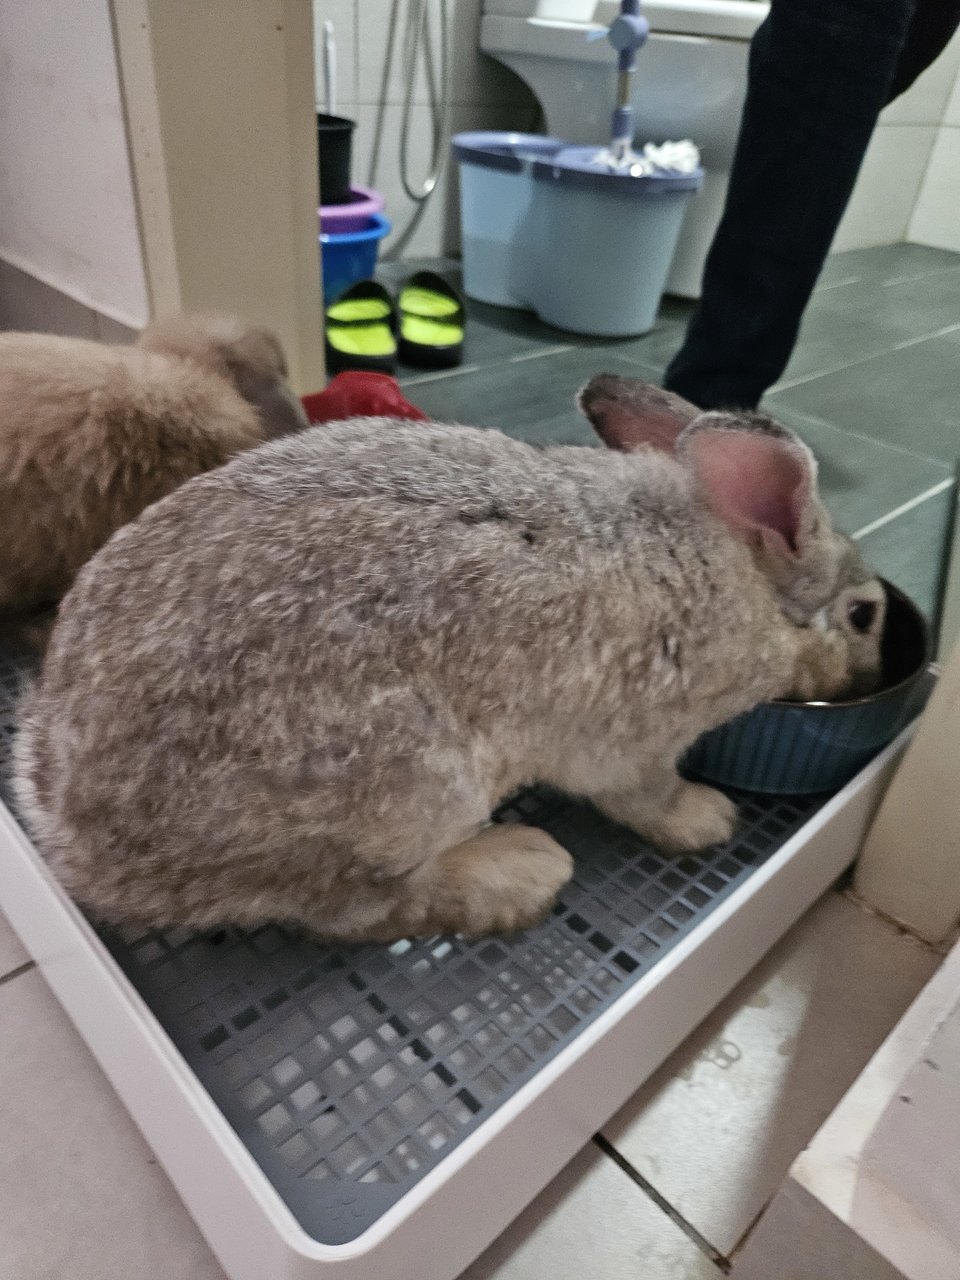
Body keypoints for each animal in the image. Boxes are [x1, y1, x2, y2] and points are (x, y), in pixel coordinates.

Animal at [13, 373, 885, 947]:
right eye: (865, 615)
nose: (872, 678)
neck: (734, 568)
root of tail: (82, 848)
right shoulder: (634, 745)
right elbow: (644, 795)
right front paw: (706, 817)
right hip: (408, 784)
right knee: (355, 910)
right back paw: (522, 871)